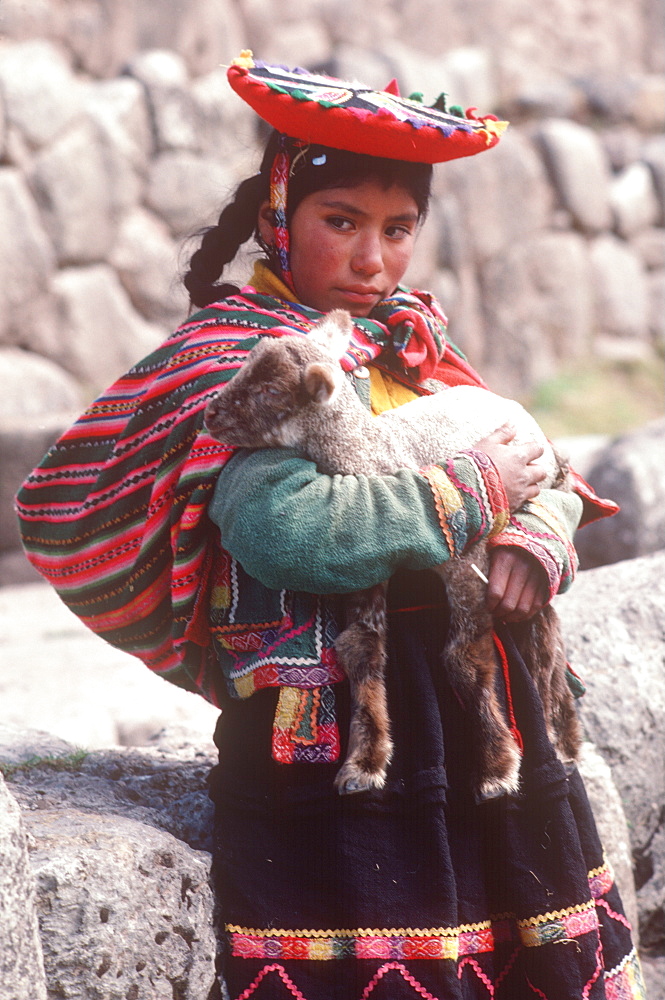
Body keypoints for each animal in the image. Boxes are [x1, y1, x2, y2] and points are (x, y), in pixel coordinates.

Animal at [205, 310, 580, 796]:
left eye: (271, 390)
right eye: (245, 364)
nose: (210, 413)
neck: (374, 455)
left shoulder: (467, 564)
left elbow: (465, 659)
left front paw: (498, 769)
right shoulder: (366, 574)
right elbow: (361, 651)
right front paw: (364, 765)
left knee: (545, 632)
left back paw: (561, 738)